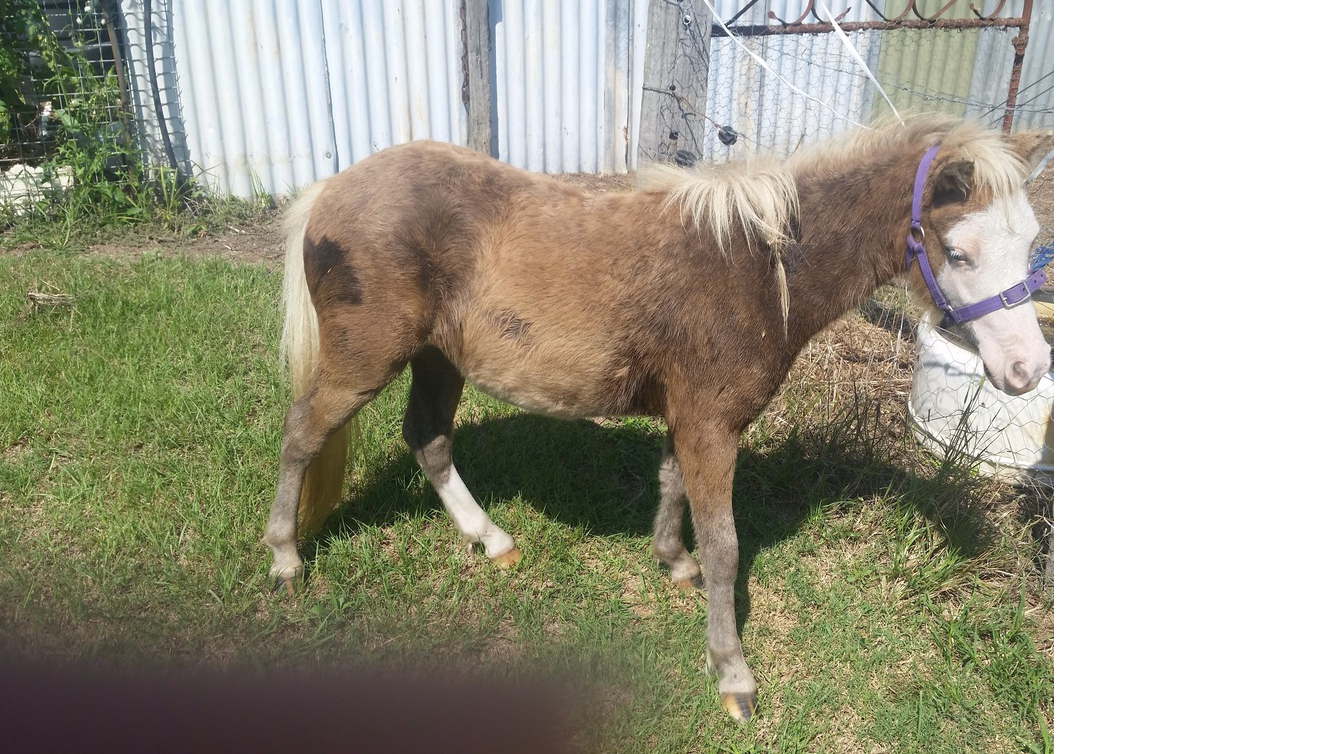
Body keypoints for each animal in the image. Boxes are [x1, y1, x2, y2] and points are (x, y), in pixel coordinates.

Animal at [263, 115, 1054, 722]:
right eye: (959, 252)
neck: (757, 266)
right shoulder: (712, 426)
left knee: (427, 441)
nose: (1026, 371)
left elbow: (675, 490)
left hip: (437, 360)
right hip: (365, 362)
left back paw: (491, 540)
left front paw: (674, 563)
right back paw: (285, 558)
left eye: (1031, 245)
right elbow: (727, 546)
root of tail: (333, 188)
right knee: (304, 433)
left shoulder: (693, 419)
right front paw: (733, 674)